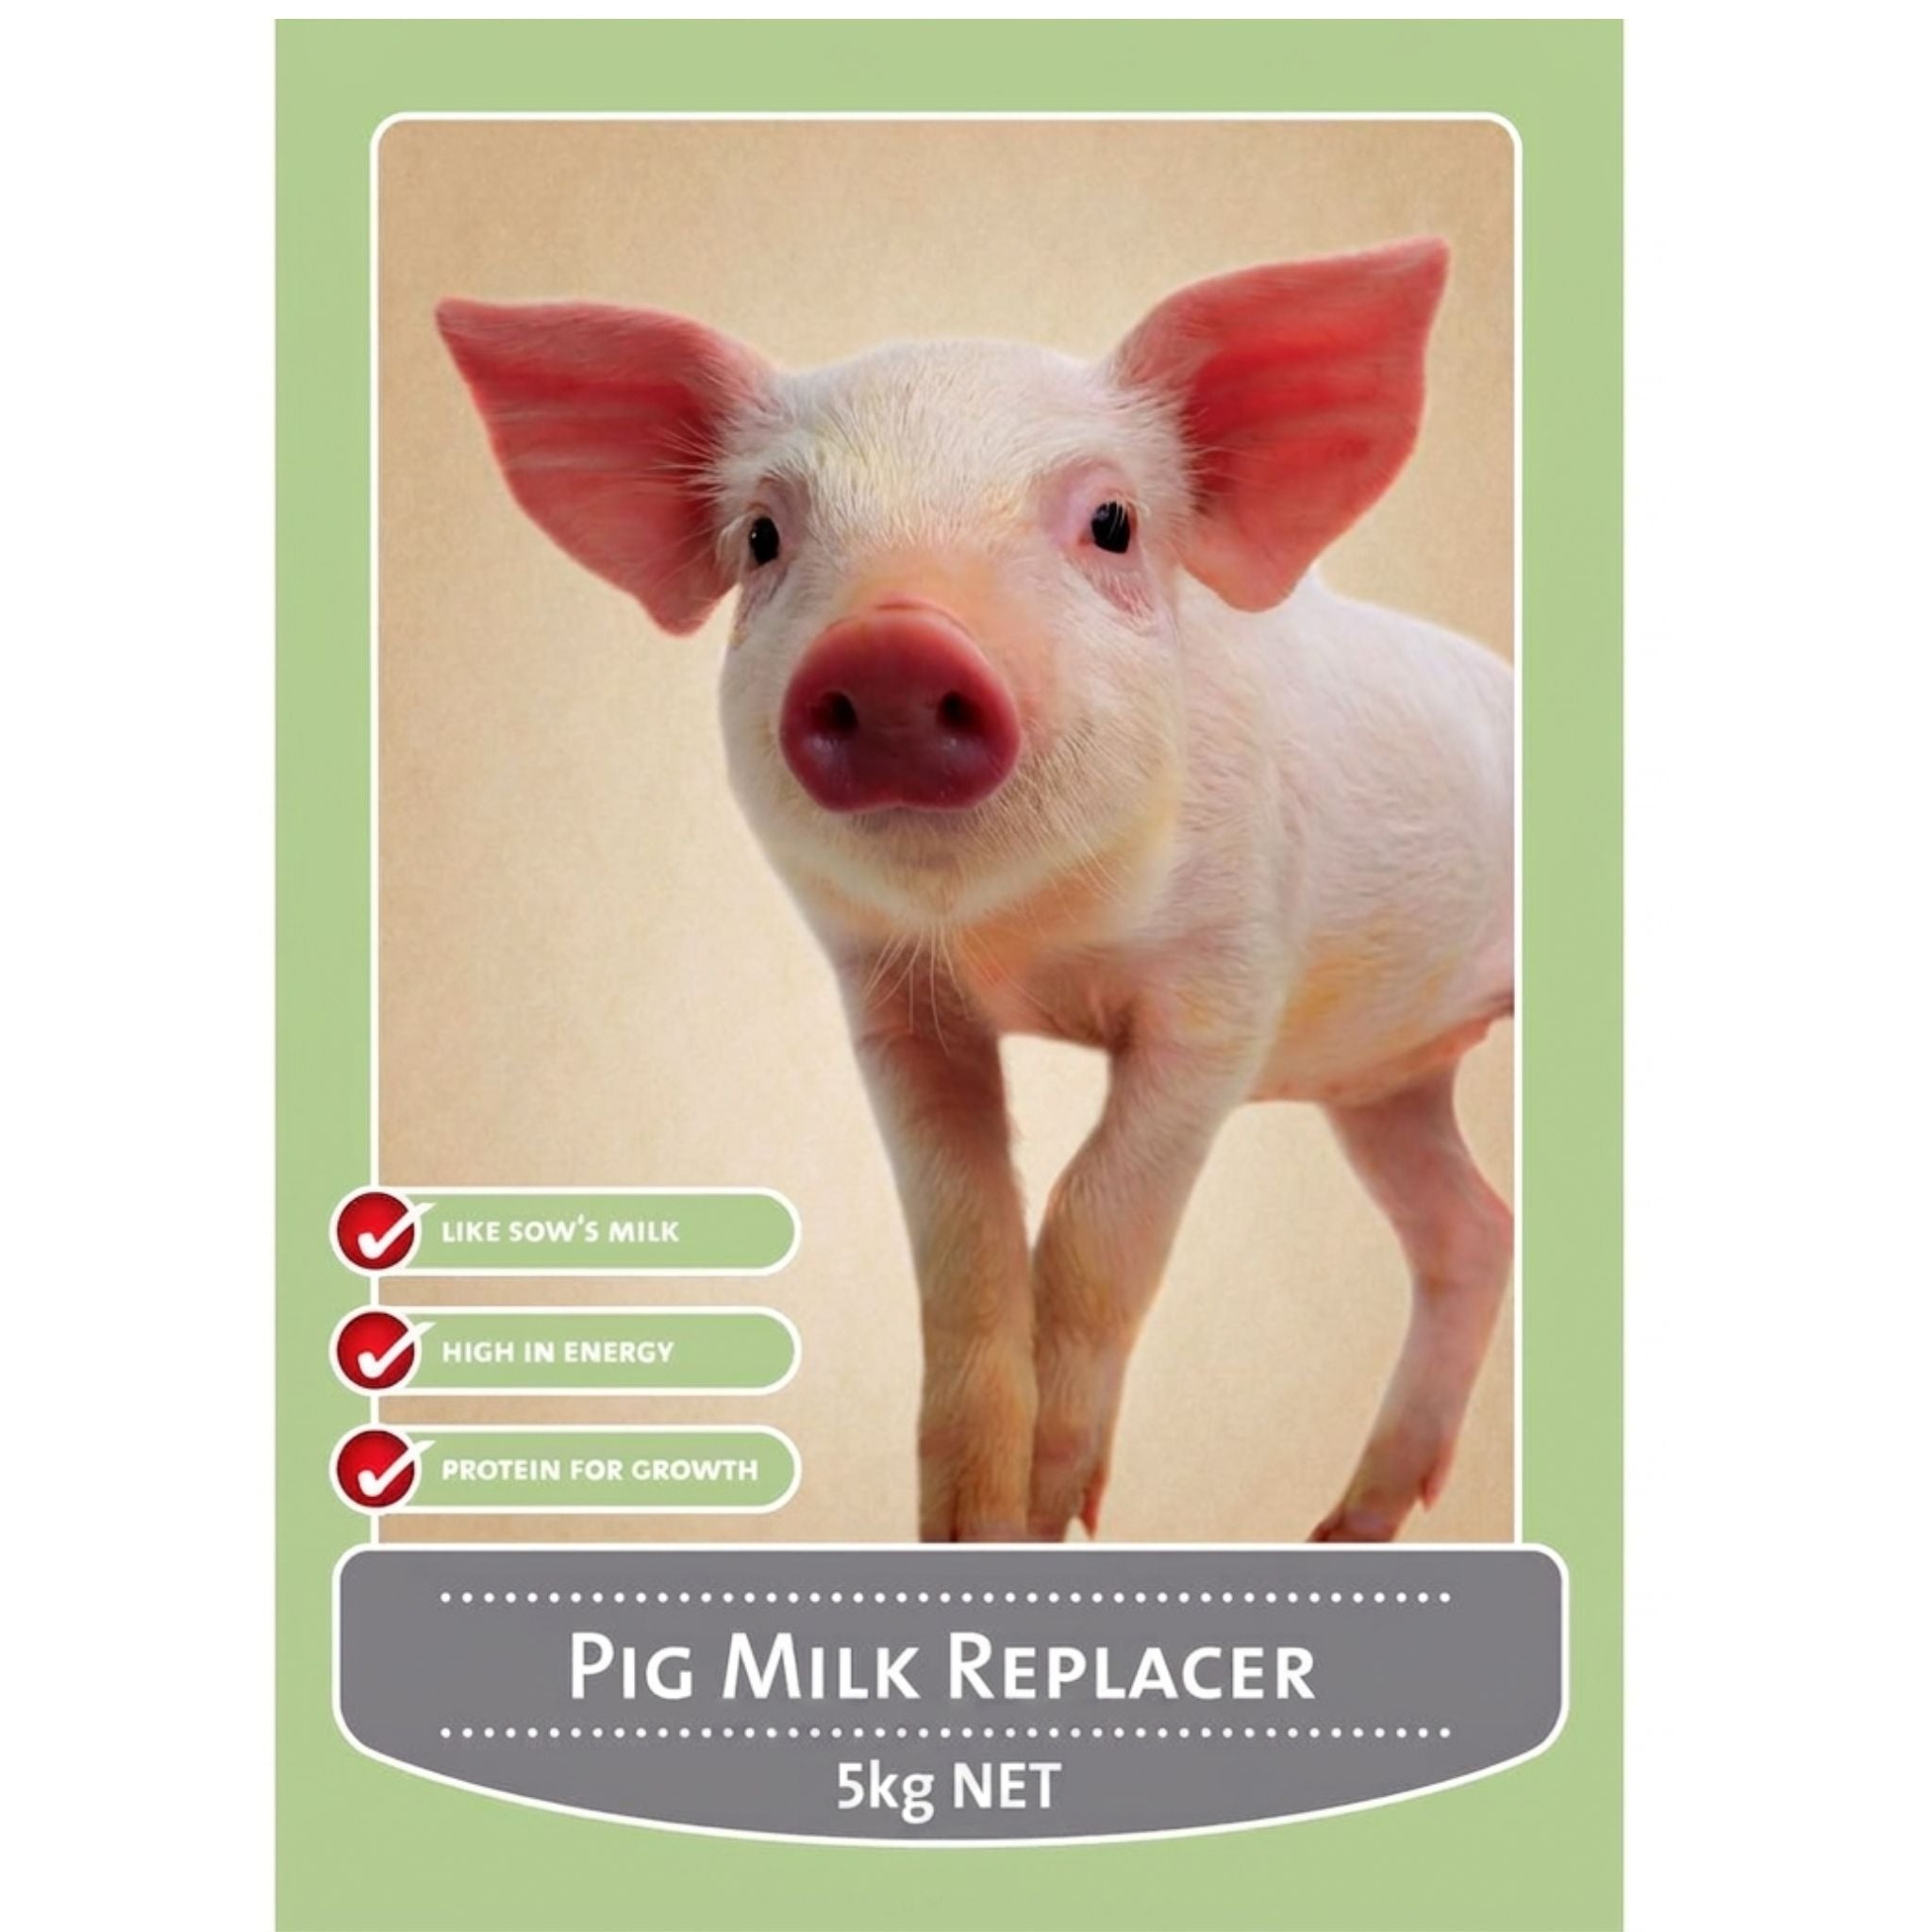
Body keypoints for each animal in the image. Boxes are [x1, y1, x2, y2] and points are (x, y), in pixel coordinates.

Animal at [437, 238, 1513, 1544]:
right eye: (761, 537)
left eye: (1111, 521)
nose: (894, 646)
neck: (1018, 945)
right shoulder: (889, 1002)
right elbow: (961, 1235)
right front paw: (964, 1525)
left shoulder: (1226, 987)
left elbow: (1098, 1216)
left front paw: (1053, 1514)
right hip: (1382, 1077)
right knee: (1471, 1228)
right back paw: (1343, 1527)